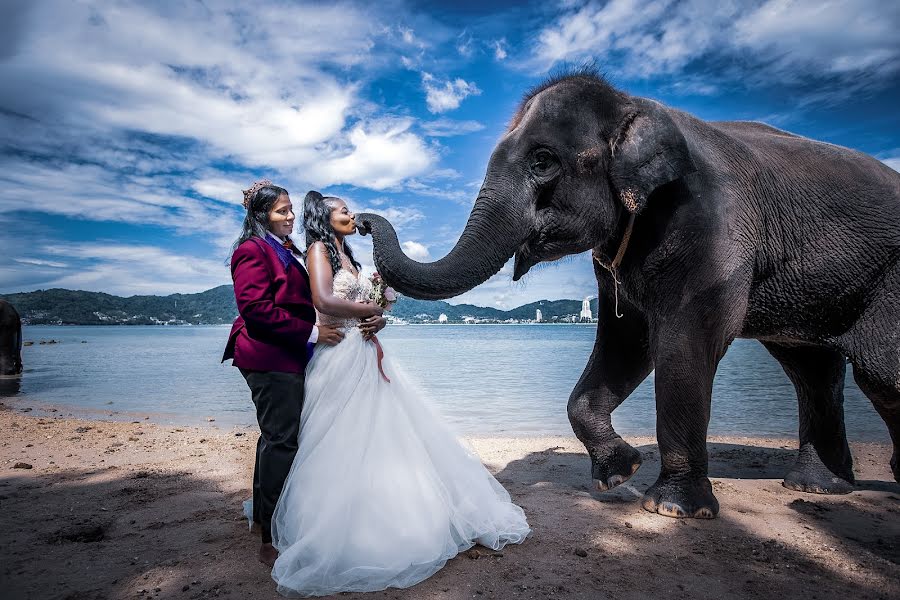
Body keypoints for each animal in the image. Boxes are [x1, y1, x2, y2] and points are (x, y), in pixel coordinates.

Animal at [356, 68, 900, 516]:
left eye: (543, 161)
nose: (360, 219)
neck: (636, 105)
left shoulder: (711, 225)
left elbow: (684, 342)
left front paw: (673, 508)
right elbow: (625, 340)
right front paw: (620, 472)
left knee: (876, 370)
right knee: (812, 368)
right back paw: (816, 487)